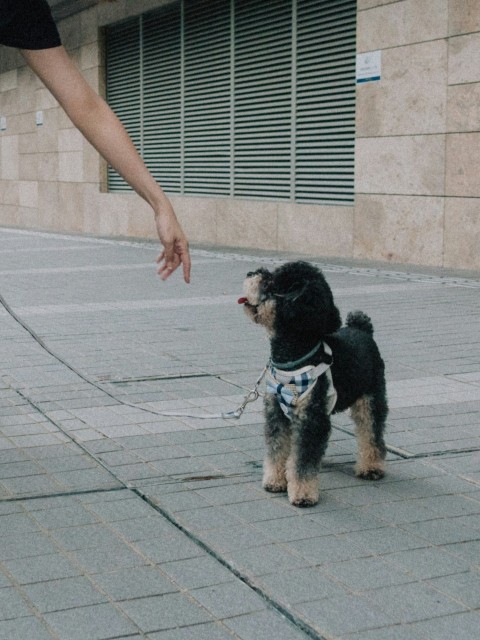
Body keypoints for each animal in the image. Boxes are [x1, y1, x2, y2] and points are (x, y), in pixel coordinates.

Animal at [238, 258, 388, 504]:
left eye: (271, 282)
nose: (251, 272)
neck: (293, 355)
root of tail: (362, 328)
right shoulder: (276, 413)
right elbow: (277, 450)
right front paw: (275, 481)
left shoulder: (310, 415)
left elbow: (303, 461)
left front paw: (303, 493)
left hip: (371, 397)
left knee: (371, 433)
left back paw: (371, 467)